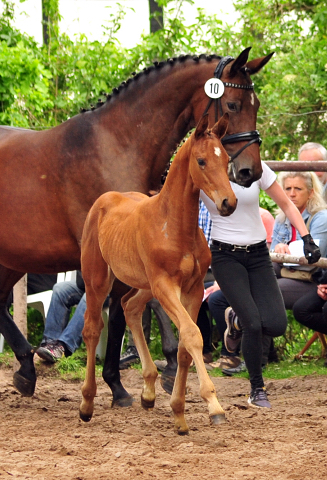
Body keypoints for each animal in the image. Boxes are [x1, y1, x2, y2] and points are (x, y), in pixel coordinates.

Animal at [0, 47, 272, 396]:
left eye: (256, 105)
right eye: (233, 105)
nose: (251, 171)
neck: (117, 146)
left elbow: (124, 312)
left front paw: (122, 381)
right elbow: (145, 305)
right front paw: (160, 369)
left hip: (13, 257)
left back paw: (25, 369)